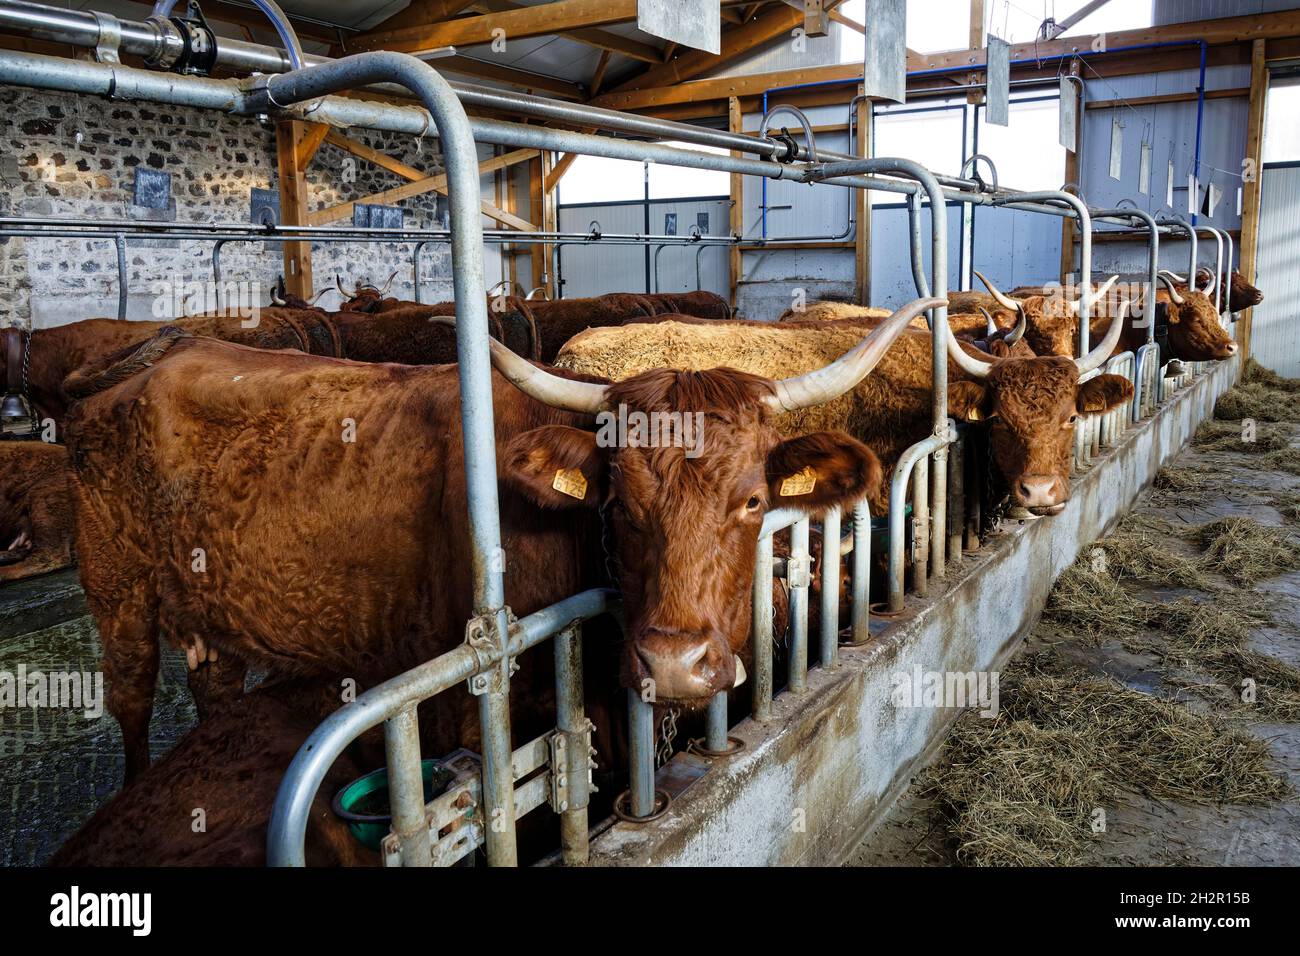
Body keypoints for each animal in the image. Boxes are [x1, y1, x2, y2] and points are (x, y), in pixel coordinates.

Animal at [65, 303, 930, 780]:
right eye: (619, 504)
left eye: (752, 501)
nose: (675, 667)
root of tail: (147, 358)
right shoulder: (460, 705)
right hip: (118, 596)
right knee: (131, 703)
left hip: (211, 611)